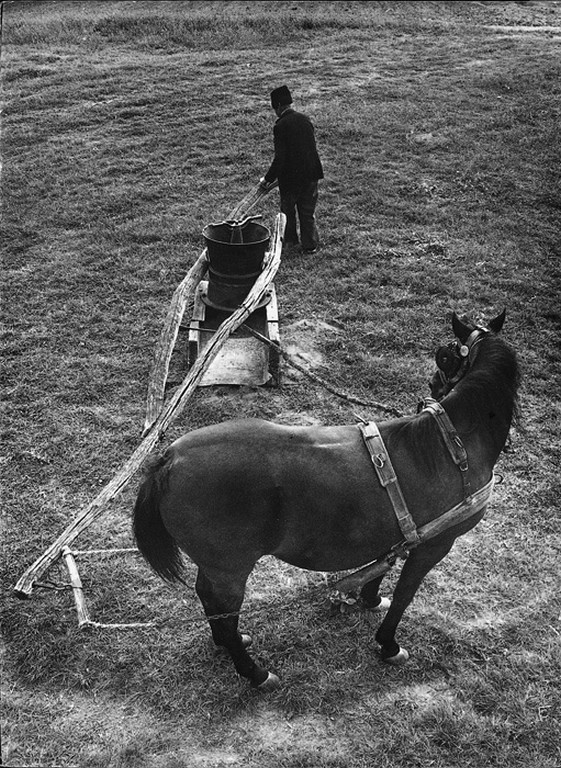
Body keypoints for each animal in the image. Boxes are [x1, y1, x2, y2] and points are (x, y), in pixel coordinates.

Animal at [133, 310, 520, 688]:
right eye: (445, 355)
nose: (432, 386)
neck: (452, 444)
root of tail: (169, 459)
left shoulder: (401, 536)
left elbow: (383, 569)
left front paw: (369, 599)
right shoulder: (434, 545)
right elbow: (404, 596)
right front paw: (388, 644)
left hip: (216, 566)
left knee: (208, 598)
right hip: (231, 570)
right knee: (225, 614)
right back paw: (254, 672)